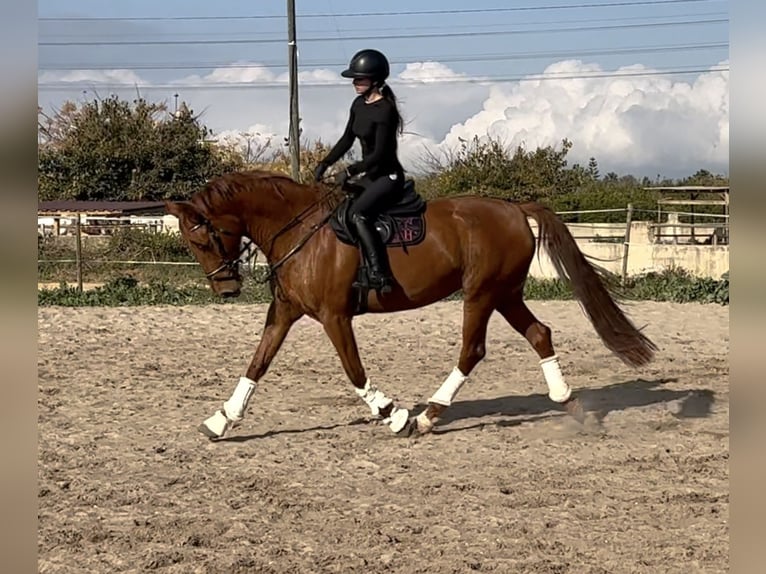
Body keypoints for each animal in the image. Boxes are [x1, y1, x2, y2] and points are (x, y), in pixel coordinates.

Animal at [164, 169, 657, 439]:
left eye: (201, 237)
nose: (226, 289)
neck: (299, 230)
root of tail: (514, 207)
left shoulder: (333, 316)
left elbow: (354, 372)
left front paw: (393, 414)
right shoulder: (284, 313)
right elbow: (257, 364)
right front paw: (220, 421)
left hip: (481, 294)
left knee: (472, 351)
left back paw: (428, 416)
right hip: (505, 294)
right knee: (539, 334)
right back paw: (568, 403)